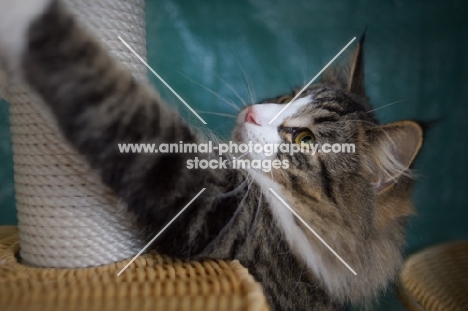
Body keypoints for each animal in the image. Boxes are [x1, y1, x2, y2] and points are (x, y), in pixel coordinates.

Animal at [0, 0, 424, 311]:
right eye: (289, 97)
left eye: (304, 139)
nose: (252, 112)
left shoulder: (207, 202)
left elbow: (109, 93)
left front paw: (25, 17)